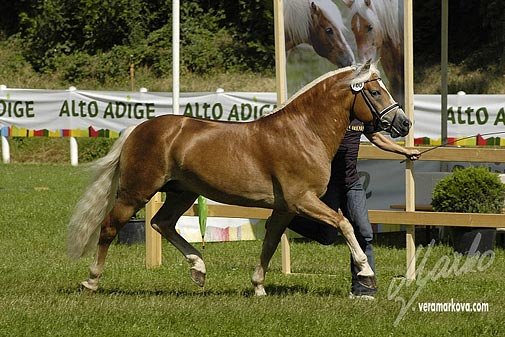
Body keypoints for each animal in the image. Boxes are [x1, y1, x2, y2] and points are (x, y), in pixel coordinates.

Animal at [67, 61, 412, 296]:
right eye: (375, 92)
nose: (404, 124)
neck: (303, 132)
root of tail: (139, 129)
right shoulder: (302, 200)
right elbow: (344, 223)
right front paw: (366, 273)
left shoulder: (285, 207)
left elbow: (271, 242)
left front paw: (258, 286)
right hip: (136, 192)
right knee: (110, 227)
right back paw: (91, 280)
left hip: (182, 192)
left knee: (162, 223)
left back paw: (199, 269)